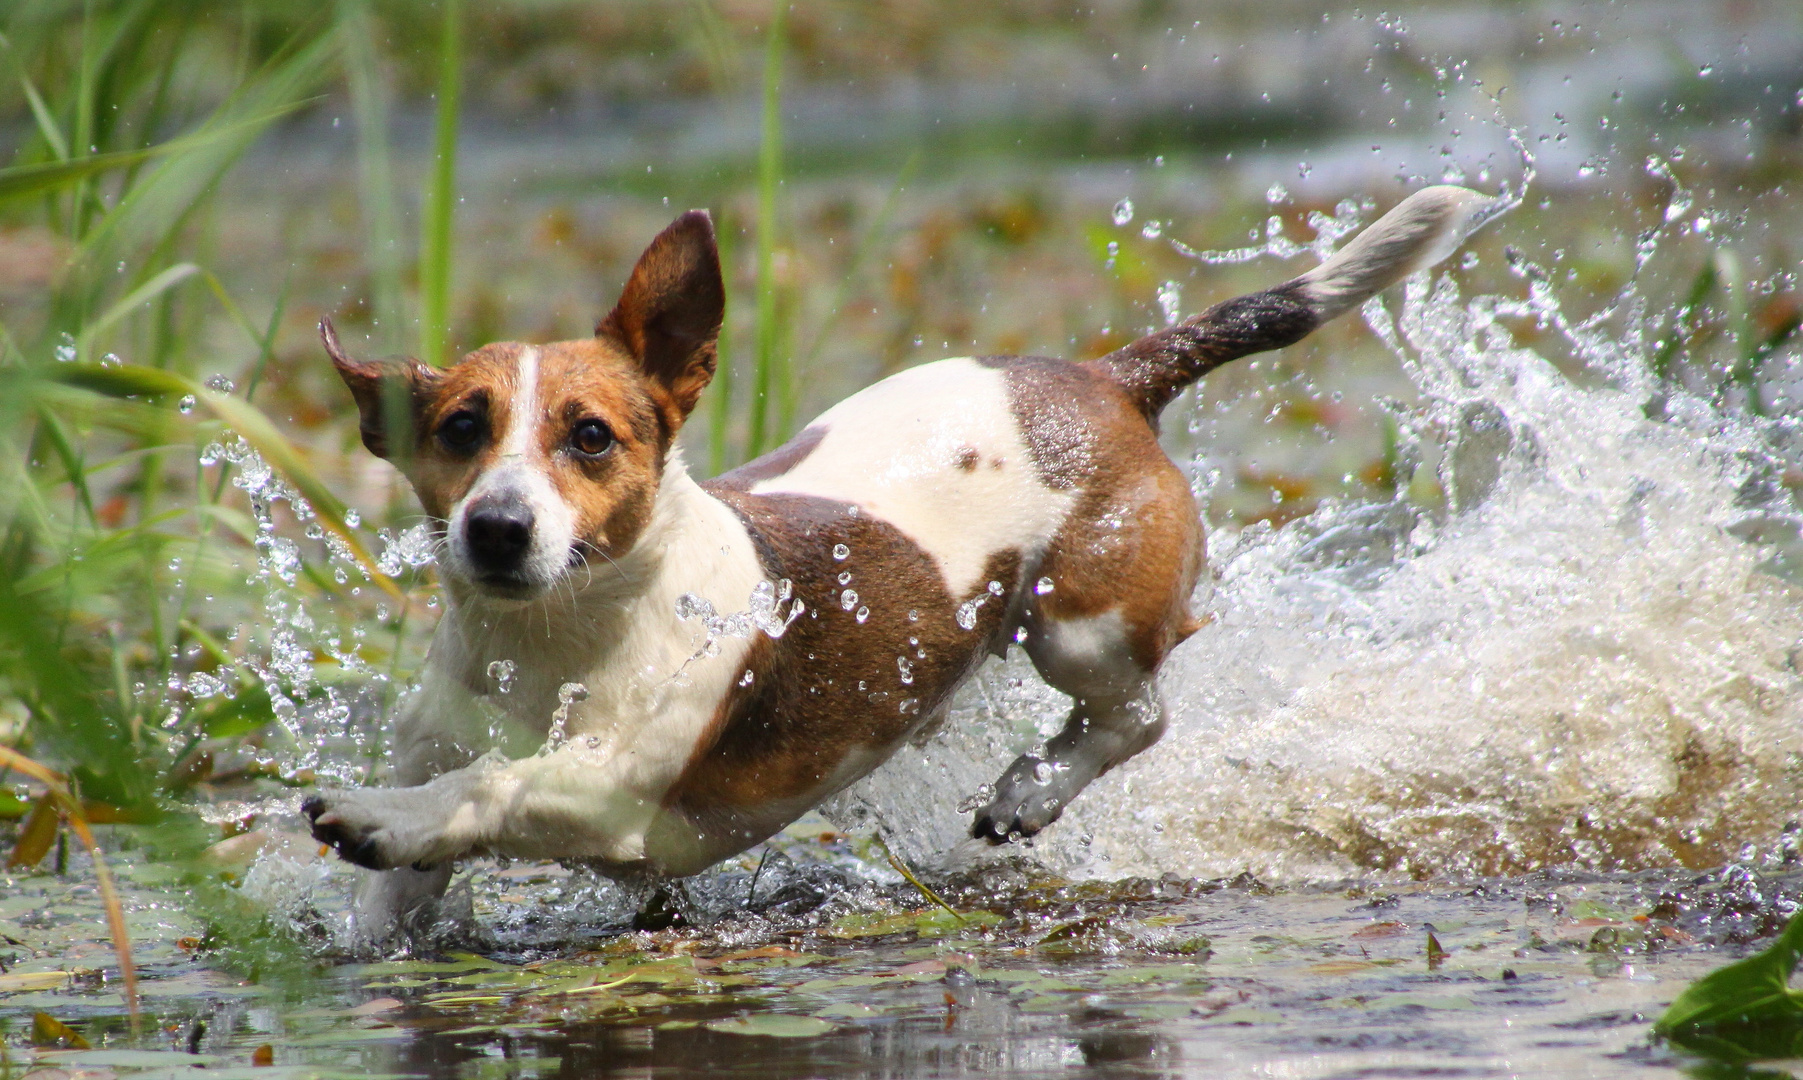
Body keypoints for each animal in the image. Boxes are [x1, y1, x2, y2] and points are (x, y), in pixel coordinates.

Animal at [306, 182, 1492, 930]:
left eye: (590, 435)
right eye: (460, 429)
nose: (497, 528)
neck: (554, 637)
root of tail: (1103, 379)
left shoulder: (612, 791)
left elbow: (489, 788)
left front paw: (376, 816)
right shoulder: (439, 755)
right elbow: (411, 871)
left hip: (1084, 623)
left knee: (1137, 714)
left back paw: (1033, 790)